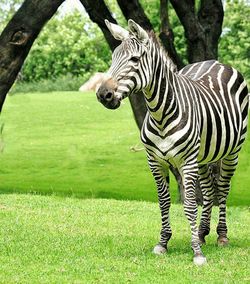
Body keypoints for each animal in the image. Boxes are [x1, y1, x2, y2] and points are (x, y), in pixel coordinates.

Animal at [95, 18, 248, 266]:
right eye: (113, 58)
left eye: (134, 59)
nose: (103, 95)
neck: (160, 114)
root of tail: (215, 61)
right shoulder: (155, 161)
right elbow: (164, 201)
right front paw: (163, 242)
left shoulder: (187, 162)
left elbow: (189, 204)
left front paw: (197, 252)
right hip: (203, 155)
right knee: (208, 189)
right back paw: (203, 232)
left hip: (232, 152)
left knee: (223, 189)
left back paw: (222, 235)